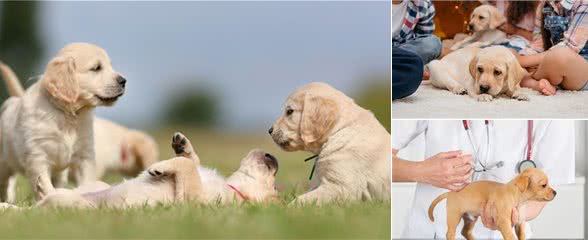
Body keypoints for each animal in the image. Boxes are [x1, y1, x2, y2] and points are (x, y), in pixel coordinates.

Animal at [0, 43, 127, 201]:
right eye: (97, 68)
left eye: (110, 65)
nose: (123, 81)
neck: (67, 115)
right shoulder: (38, 157)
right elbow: (45, 185)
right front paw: (51, 199)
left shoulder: (84, 156)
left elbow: (87, 181)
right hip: (4, 163)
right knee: (5, 182)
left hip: (59, 173)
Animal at [35, 132, 280, 209]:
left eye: (275, 188)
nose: (274, 158)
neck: (235, 190)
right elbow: (192, 161)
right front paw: (182, 146)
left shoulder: (194, 201)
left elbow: (188, 166)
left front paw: (158, 168)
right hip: (96, 185)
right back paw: (43, 185)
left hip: (78, 206)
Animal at [428, 168, 556, 240]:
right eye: (544, 185)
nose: (556, 192)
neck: (516, 195)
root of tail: (450, 193)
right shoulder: (504, 222)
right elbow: (510, 236)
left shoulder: (519, 223)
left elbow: (521, 236)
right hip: (454, 217)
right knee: (450, 233)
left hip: (470, 219)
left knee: (465, 232)